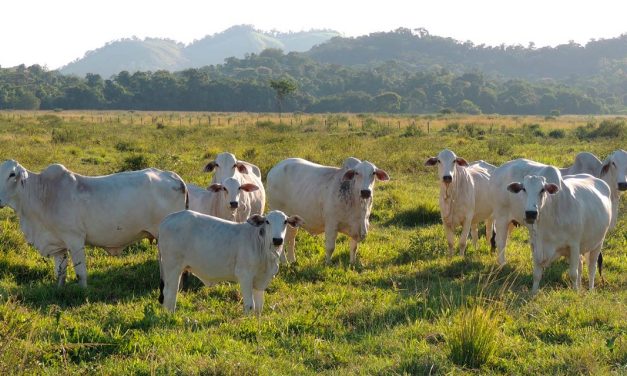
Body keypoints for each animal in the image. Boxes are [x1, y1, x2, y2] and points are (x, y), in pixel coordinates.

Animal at [0, 160, 188, 286]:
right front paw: (59, 289)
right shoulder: (58, 246)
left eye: (12, 174)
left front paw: (83, 292)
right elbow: (60, 273)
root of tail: (174, 177)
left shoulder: (75, 240)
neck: (44, 194)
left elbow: (80, 274)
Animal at [158, 210, 302, 312]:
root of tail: (167, 219)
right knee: (170, 293)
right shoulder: (244, 275)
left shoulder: (261, 280)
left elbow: (259, 307)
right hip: (172, 267)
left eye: (285, 221)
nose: (277, 240)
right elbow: (250, 305)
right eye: (267, 221)